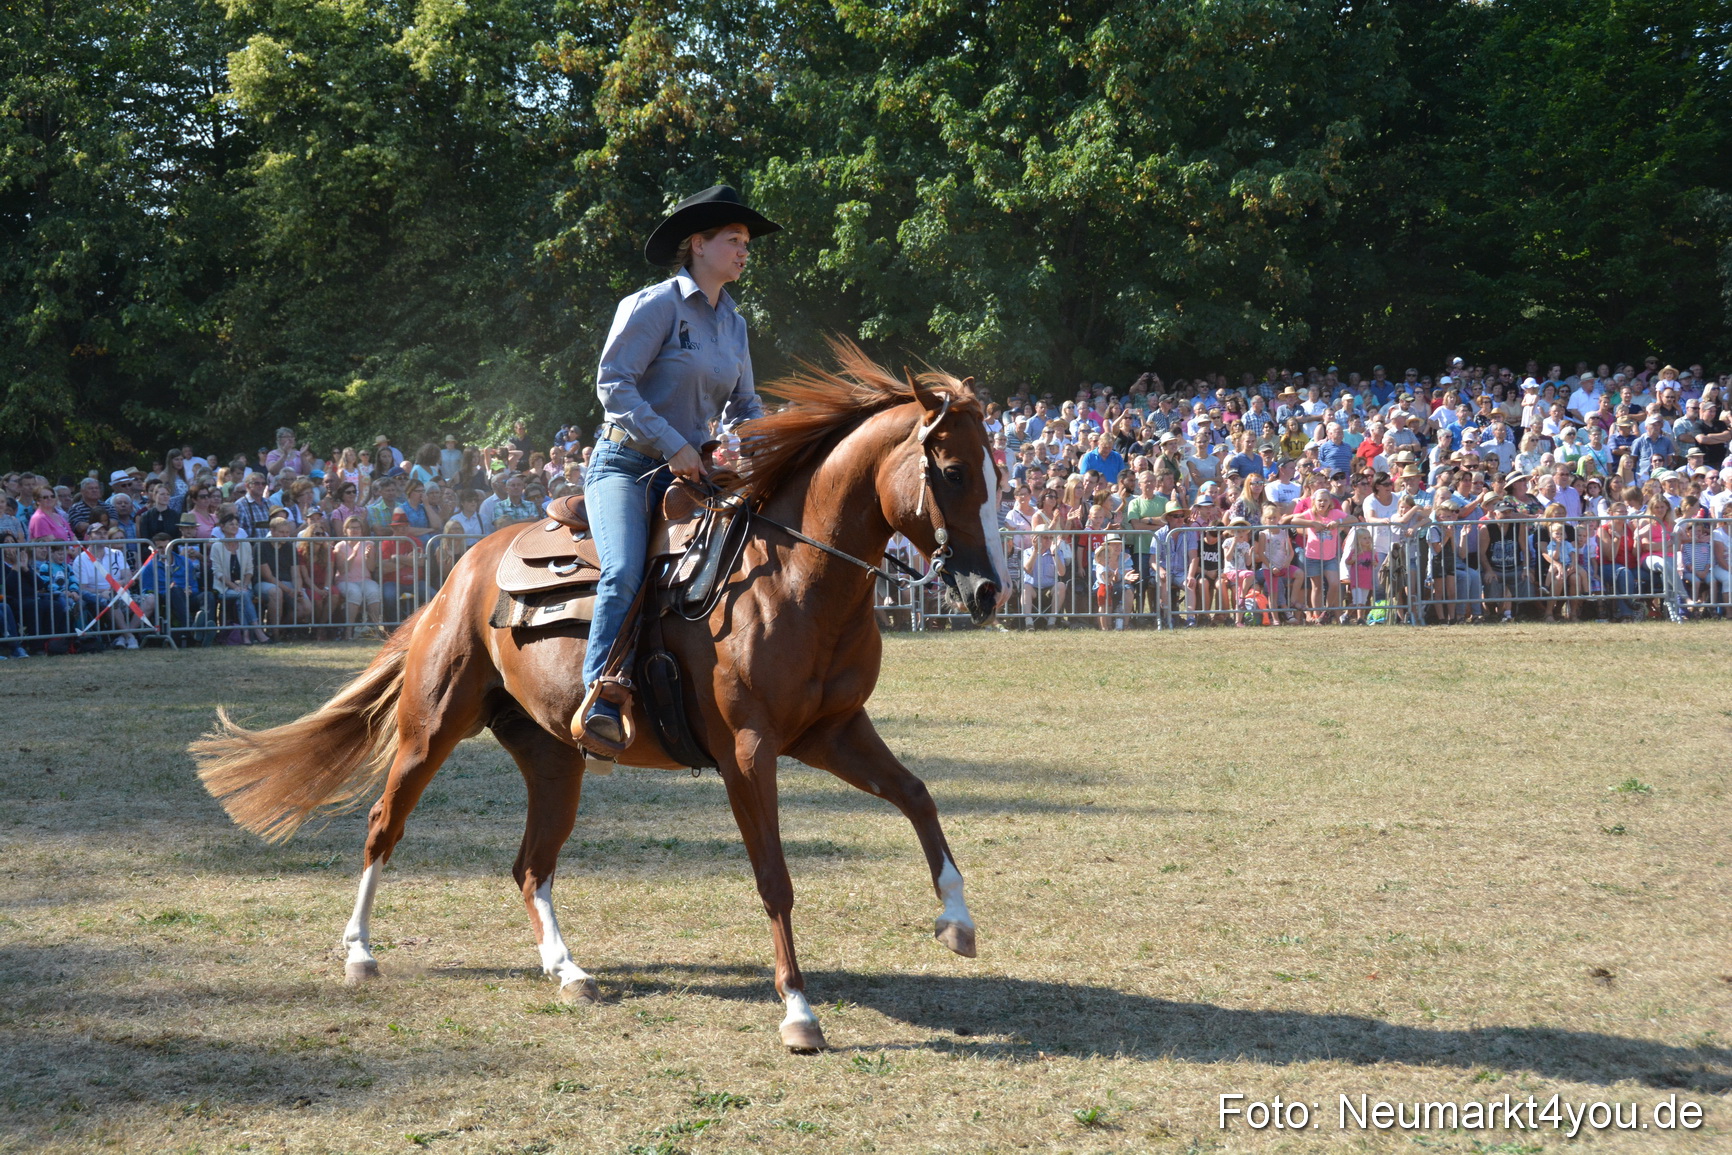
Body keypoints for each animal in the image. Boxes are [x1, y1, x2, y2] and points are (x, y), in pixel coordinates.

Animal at [191, 341, 1009, 1052]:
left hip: (556, 758)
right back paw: (360, 953)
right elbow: (775, 878)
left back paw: (569, 970)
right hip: (431, 727)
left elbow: (917, 794)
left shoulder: (832, 731)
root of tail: (462, 571)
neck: (791, 578)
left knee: (531, 865)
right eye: (953, 470)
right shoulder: (749, 752)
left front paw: (958, 921)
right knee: (383, 825)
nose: (988, 590)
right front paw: (799, 1011)